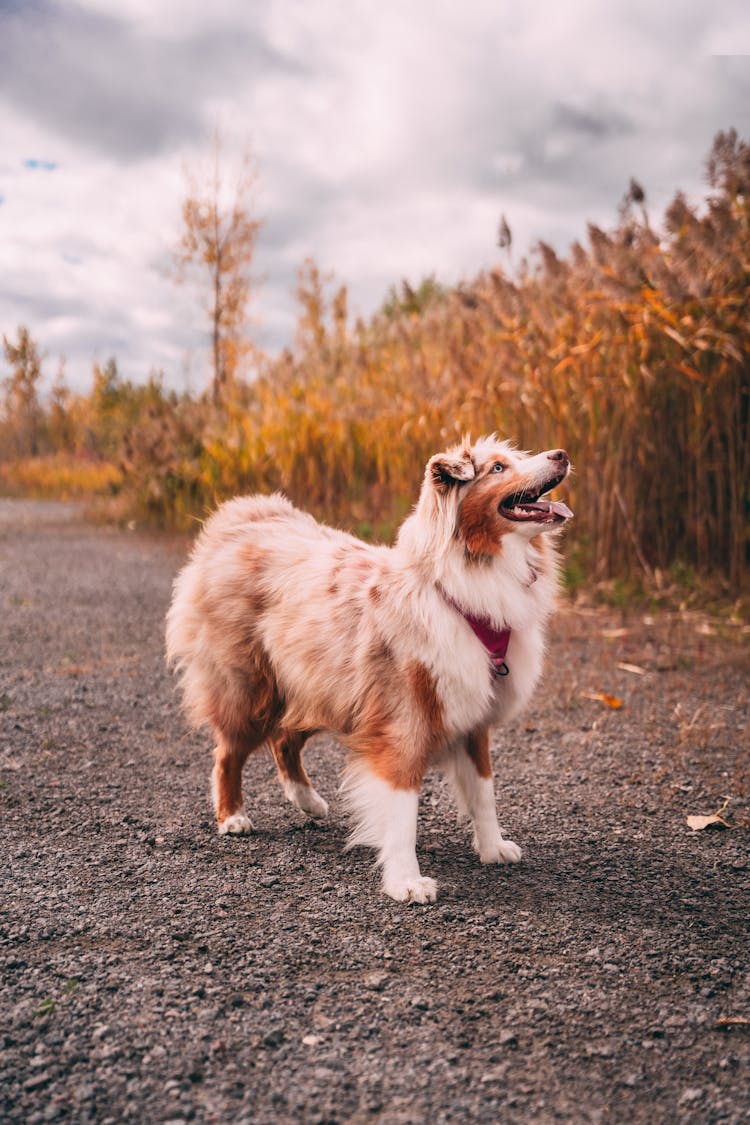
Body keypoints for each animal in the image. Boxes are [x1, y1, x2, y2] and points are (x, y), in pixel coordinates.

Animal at [165, 434, 575, 900]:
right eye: (499, 468)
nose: (561, 454)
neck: (462, 586)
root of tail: (240, 518)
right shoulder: (403, 723)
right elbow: (402, 813)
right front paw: (406, 881)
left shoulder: (473, 716)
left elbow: (484, 791)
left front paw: (492, 848)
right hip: (252, 688)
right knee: (228, 753)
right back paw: (232, 816)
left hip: (317, 685)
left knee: (284, 740)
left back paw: (308, 802)